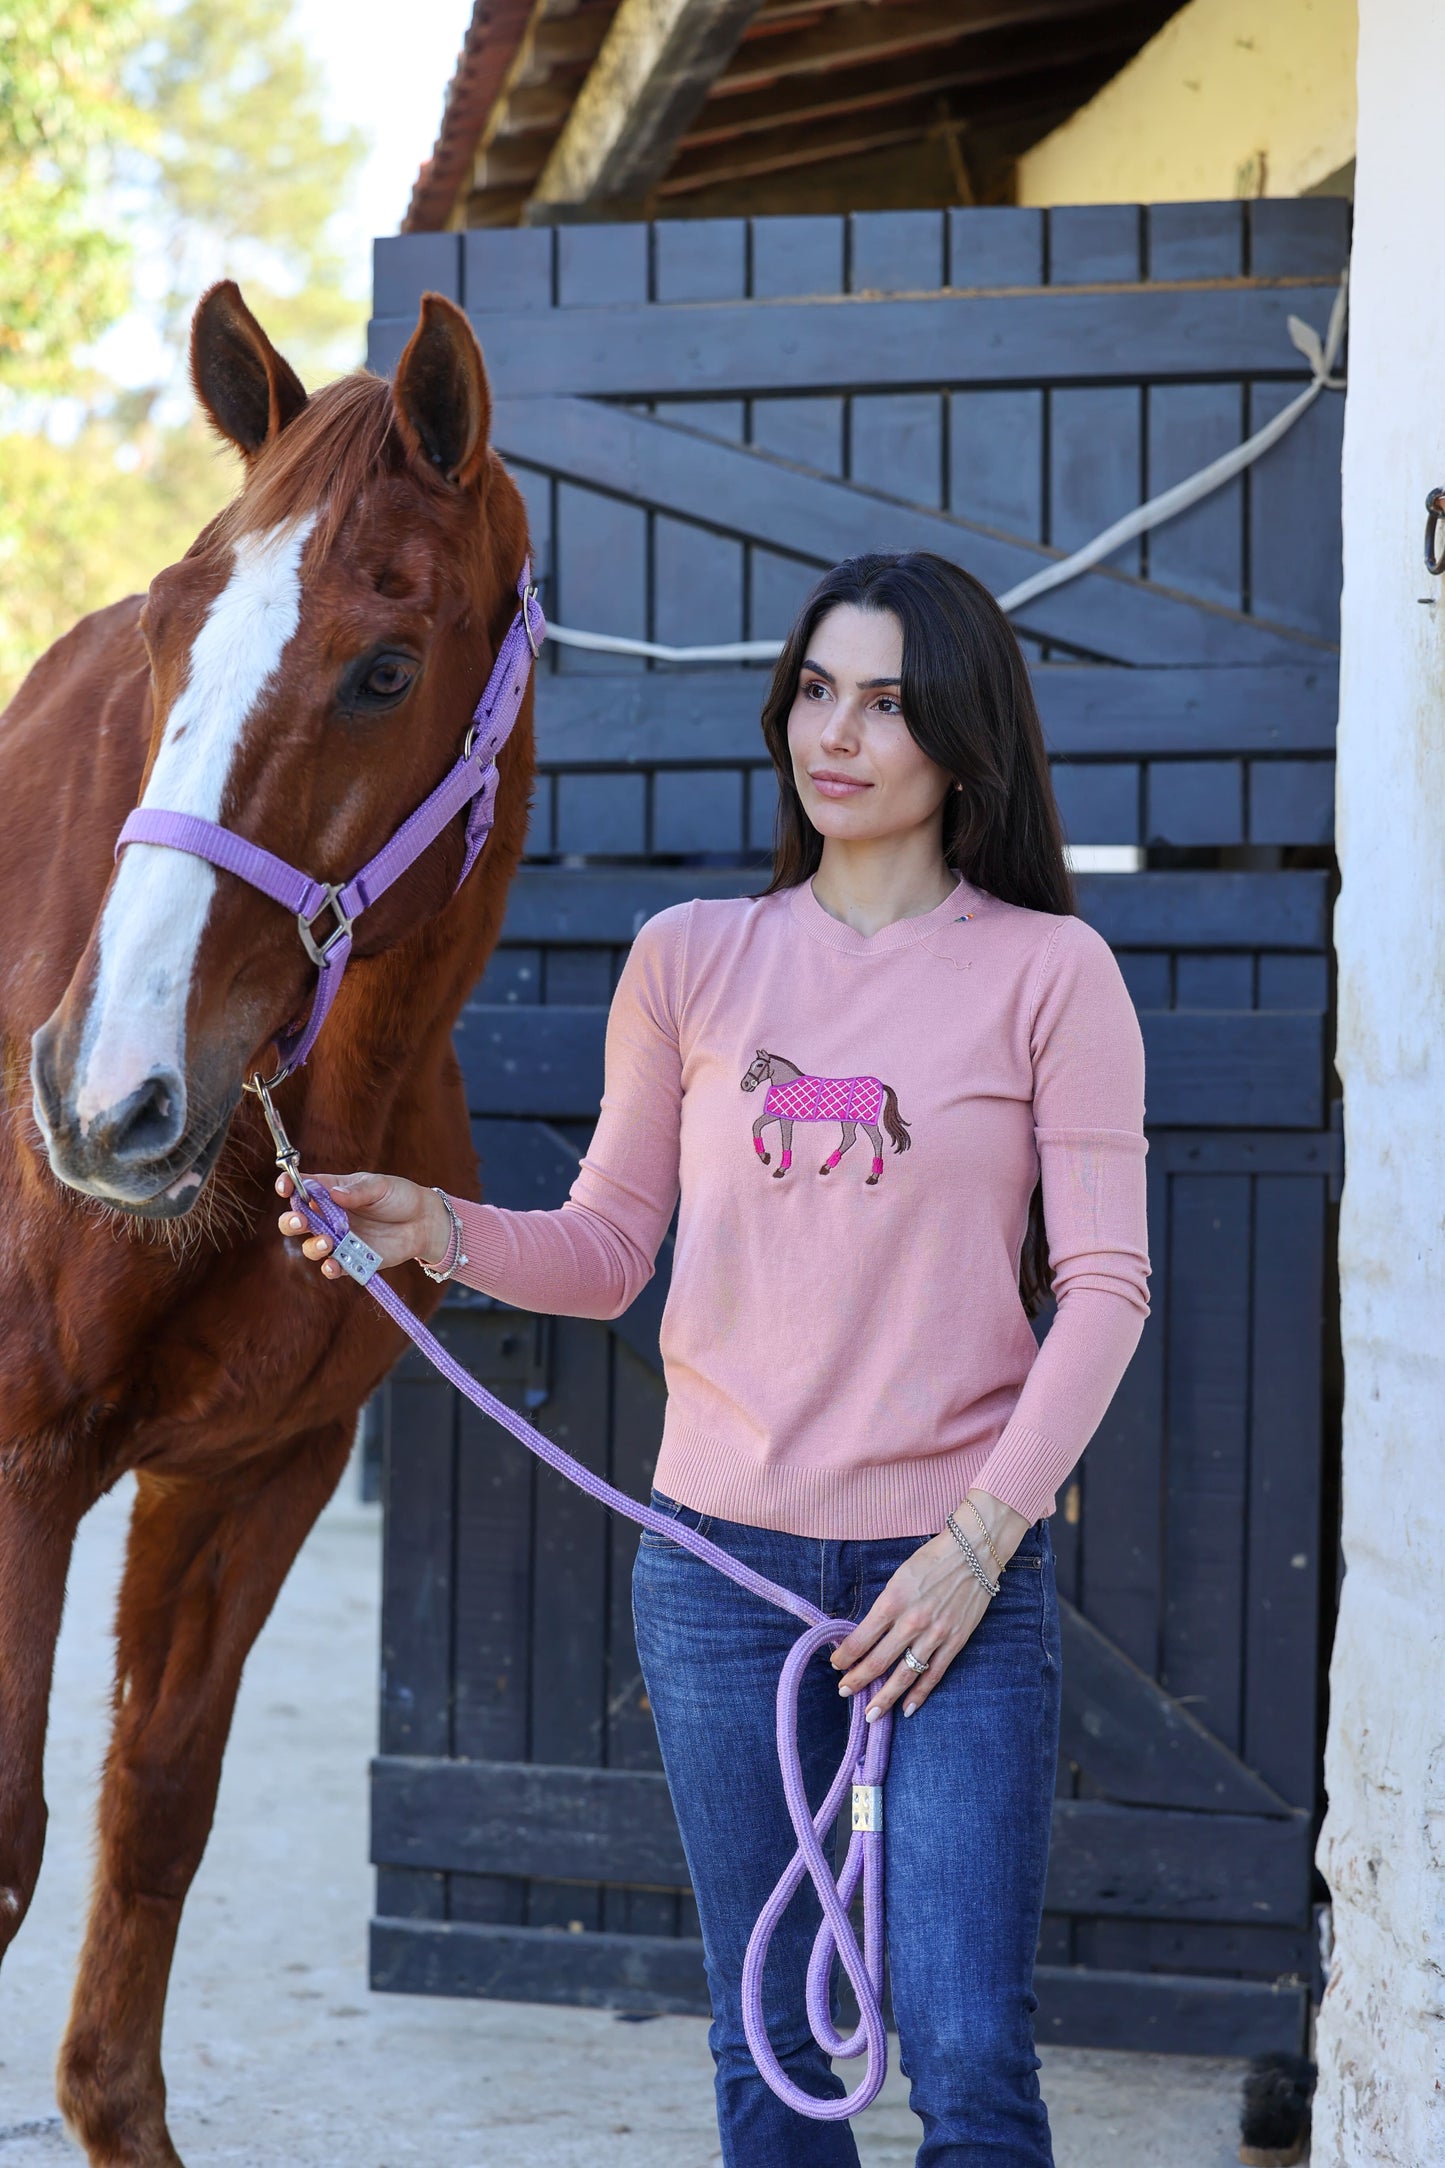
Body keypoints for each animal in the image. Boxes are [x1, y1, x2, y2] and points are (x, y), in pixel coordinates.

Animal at [0, 279, 535, 2167]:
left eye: (386, 667)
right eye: (165, 630)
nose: (103, 1097)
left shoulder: (253, 1473)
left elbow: (152, 1812)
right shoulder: (20, 1468)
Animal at [740, 1050, 912, 1184]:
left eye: (760, 1065)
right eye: (752, 1064)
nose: (745, 1084)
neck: (787, 1081)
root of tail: (881, 1084)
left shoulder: (786, 1118)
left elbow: (786, 1141)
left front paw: (781, 1169)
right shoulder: (776, 1114)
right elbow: (756, 1125)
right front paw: (765, 1157)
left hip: (867, 1121)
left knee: (877, 1140)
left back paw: (873, 1177)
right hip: (848, 1121)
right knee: (850, 1138)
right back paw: (826, 1167)